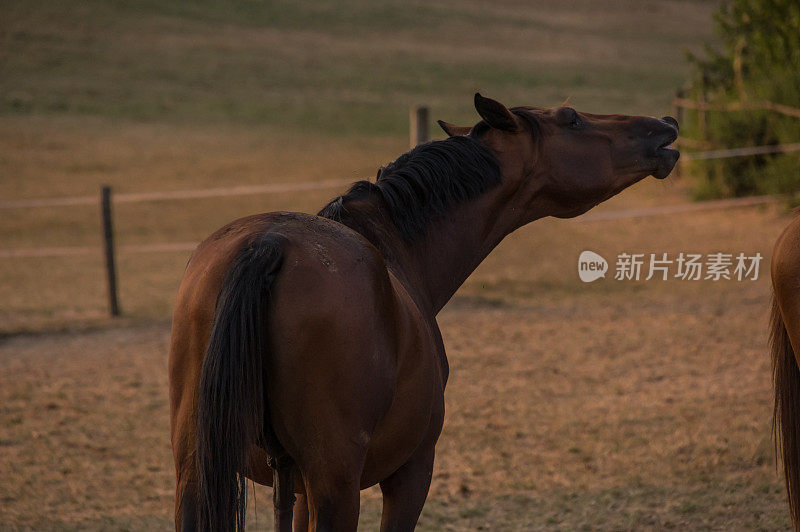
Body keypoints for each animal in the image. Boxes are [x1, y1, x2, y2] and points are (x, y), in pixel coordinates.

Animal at [170, 93, 680, 528]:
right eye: (571, 118)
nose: (666, 126)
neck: (392, 246)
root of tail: (269, 244)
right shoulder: (411, 473)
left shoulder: (295, 489)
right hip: (336, 486)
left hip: (197, 475)